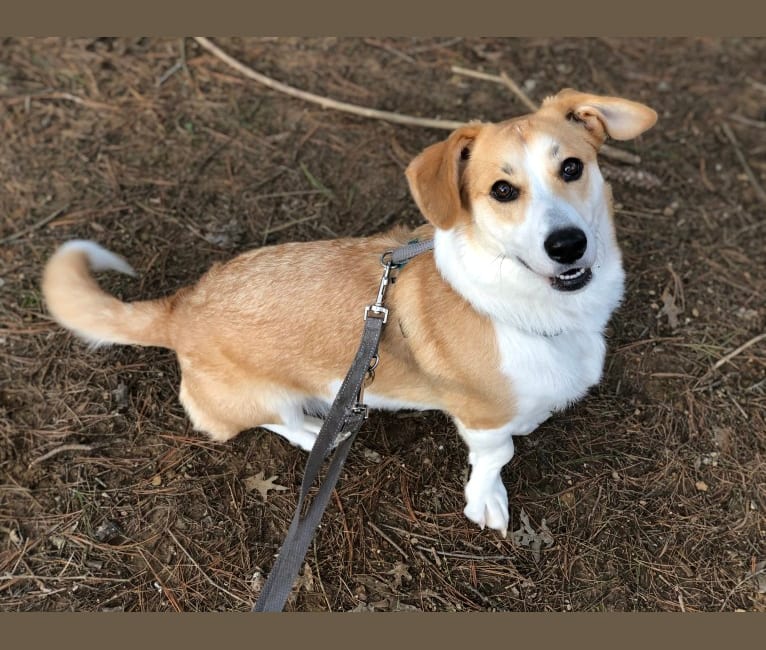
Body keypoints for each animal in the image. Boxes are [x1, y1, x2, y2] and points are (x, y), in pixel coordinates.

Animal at [42, 88, 656, 536]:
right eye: (503, 190)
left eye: (572, 167)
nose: (568, 245)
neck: (527, 302)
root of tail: (180, 308)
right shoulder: (480, 418)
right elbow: (495, 455)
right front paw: (487, 499)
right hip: (255, 399)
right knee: (269, 421)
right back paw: (318, 429)